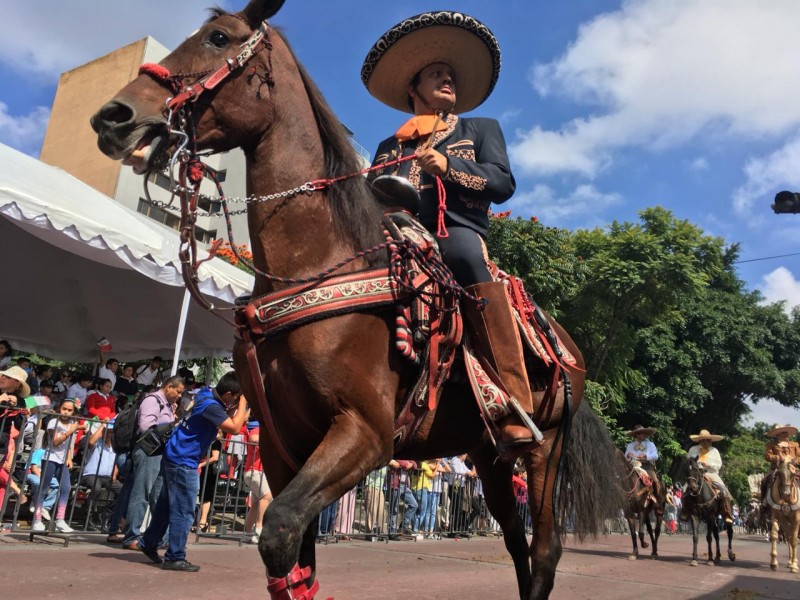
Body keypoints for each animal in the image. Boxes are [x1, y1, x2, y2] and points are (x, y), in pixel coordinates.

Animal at [90, 2, 620, 596]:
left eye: (218, 37)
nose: (113, 116)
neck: (312, 267)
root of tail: (564, 343)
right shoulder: (283, 444)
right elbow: (294, 559)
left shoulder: (365, 433)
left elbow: (279, 529)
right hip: (488, 455)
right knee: (515, 544)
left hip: (545, 449)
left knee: (544, 550)